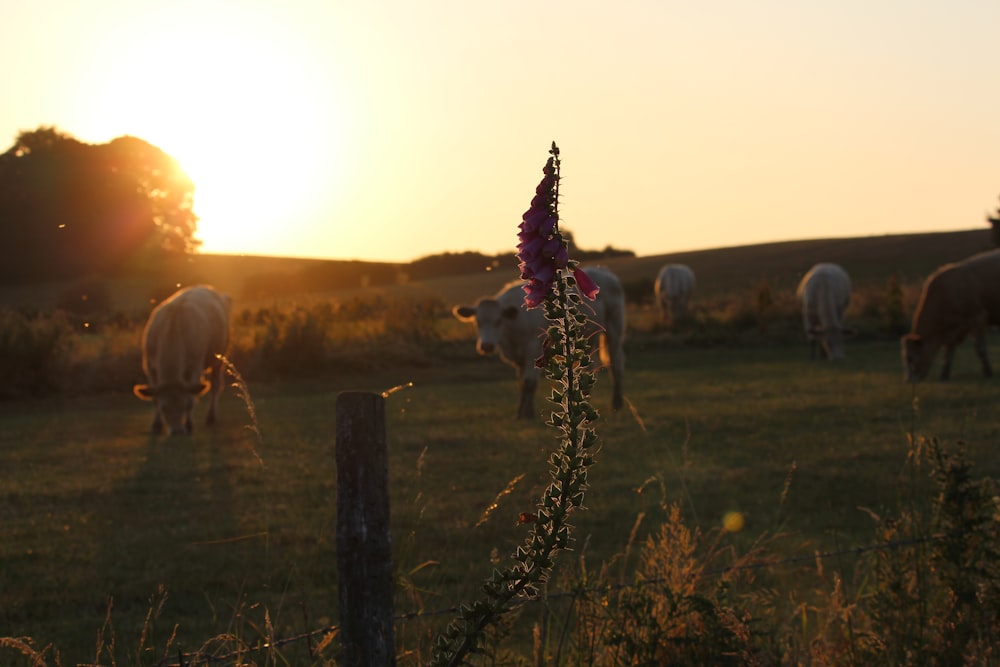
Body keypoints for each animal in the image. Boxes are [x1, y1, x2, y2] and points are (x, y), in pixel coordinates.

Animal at [133, 284, 232, 436]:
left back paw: (211, 417)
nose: (177, 431)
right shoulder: (149, 366)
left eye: (184, 406)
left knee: (215, 385)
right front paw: (156, 425)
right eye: (164, 408)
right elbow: (155, 397)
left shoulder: (196, 365)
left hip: (219, 358)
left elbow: (191, 397)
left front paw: (189, 425)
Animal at [454, 266, 624, 418]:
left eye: (498, 321)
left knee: (616, 363)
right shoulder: (518, 357)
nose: (487, 346)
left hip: (614, 327)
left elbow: (529, 382)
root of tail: (603, 271)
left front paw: (528, 413)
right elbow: (521, 383)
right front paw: (520, 412)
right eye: (477, 322)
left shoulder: (532, 349)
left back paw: (617, 402)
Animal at [904, 249, 1000, 384]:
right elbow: (948, 353)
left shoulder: (978, 317)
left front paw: (988, 372)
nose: (908, 381)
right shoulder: (953, 332)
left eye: (911, 358)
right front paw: (944, 374)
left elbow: (980, 349)